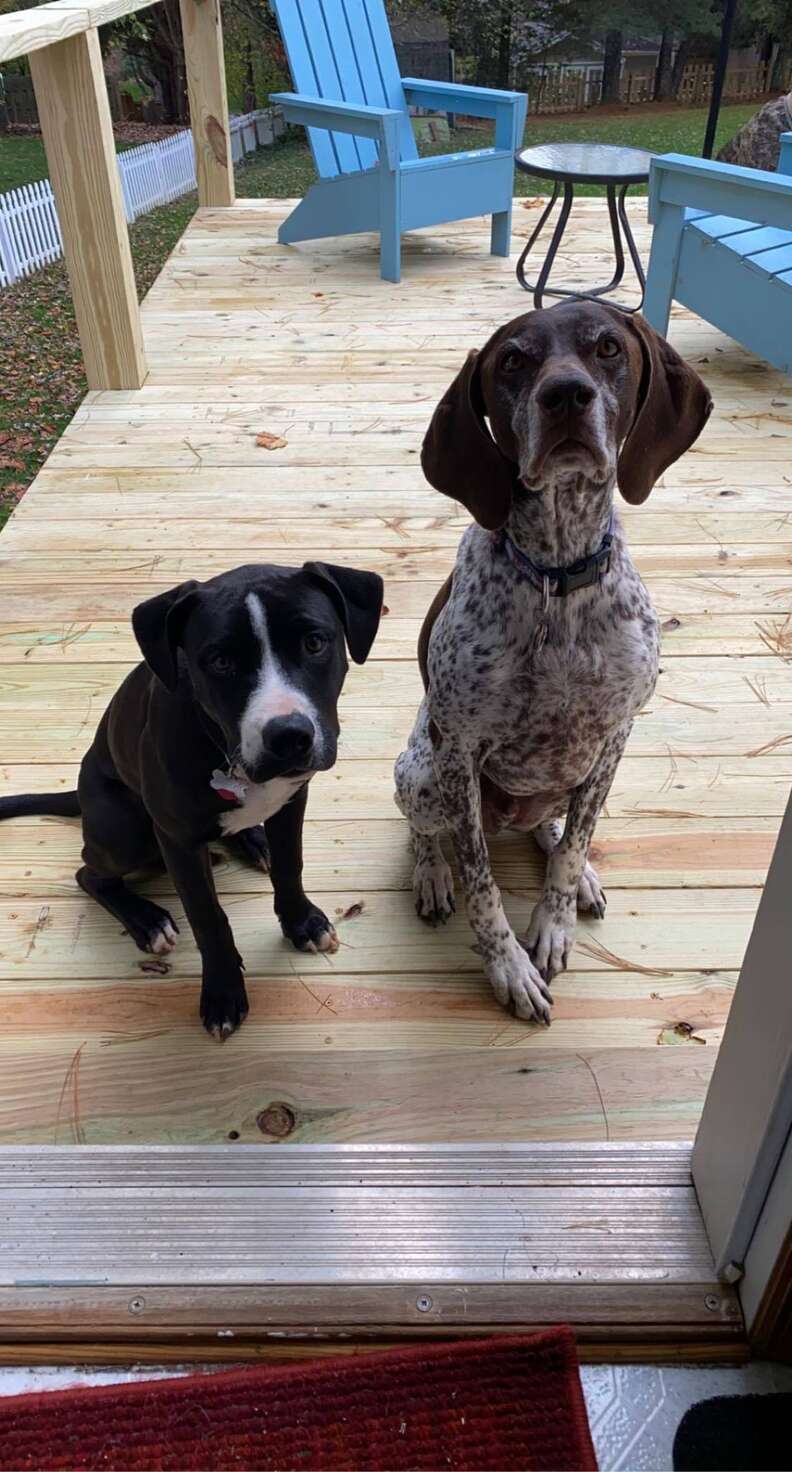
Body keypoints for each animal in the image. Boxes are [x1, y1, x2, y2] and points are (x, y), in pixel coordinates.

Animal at [0, 559, 382, 1036]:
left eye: (314, 642)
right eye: (220, 661)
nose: (289, 737)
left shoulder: (293, 799)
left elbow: (290, 864)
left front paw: (302, 922)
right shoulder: (177, 841)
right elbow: (207, 917)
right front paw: (222, 993)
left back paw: (252, 839)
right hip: (123, 832)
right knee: (89, 874)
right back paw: (147, 920)